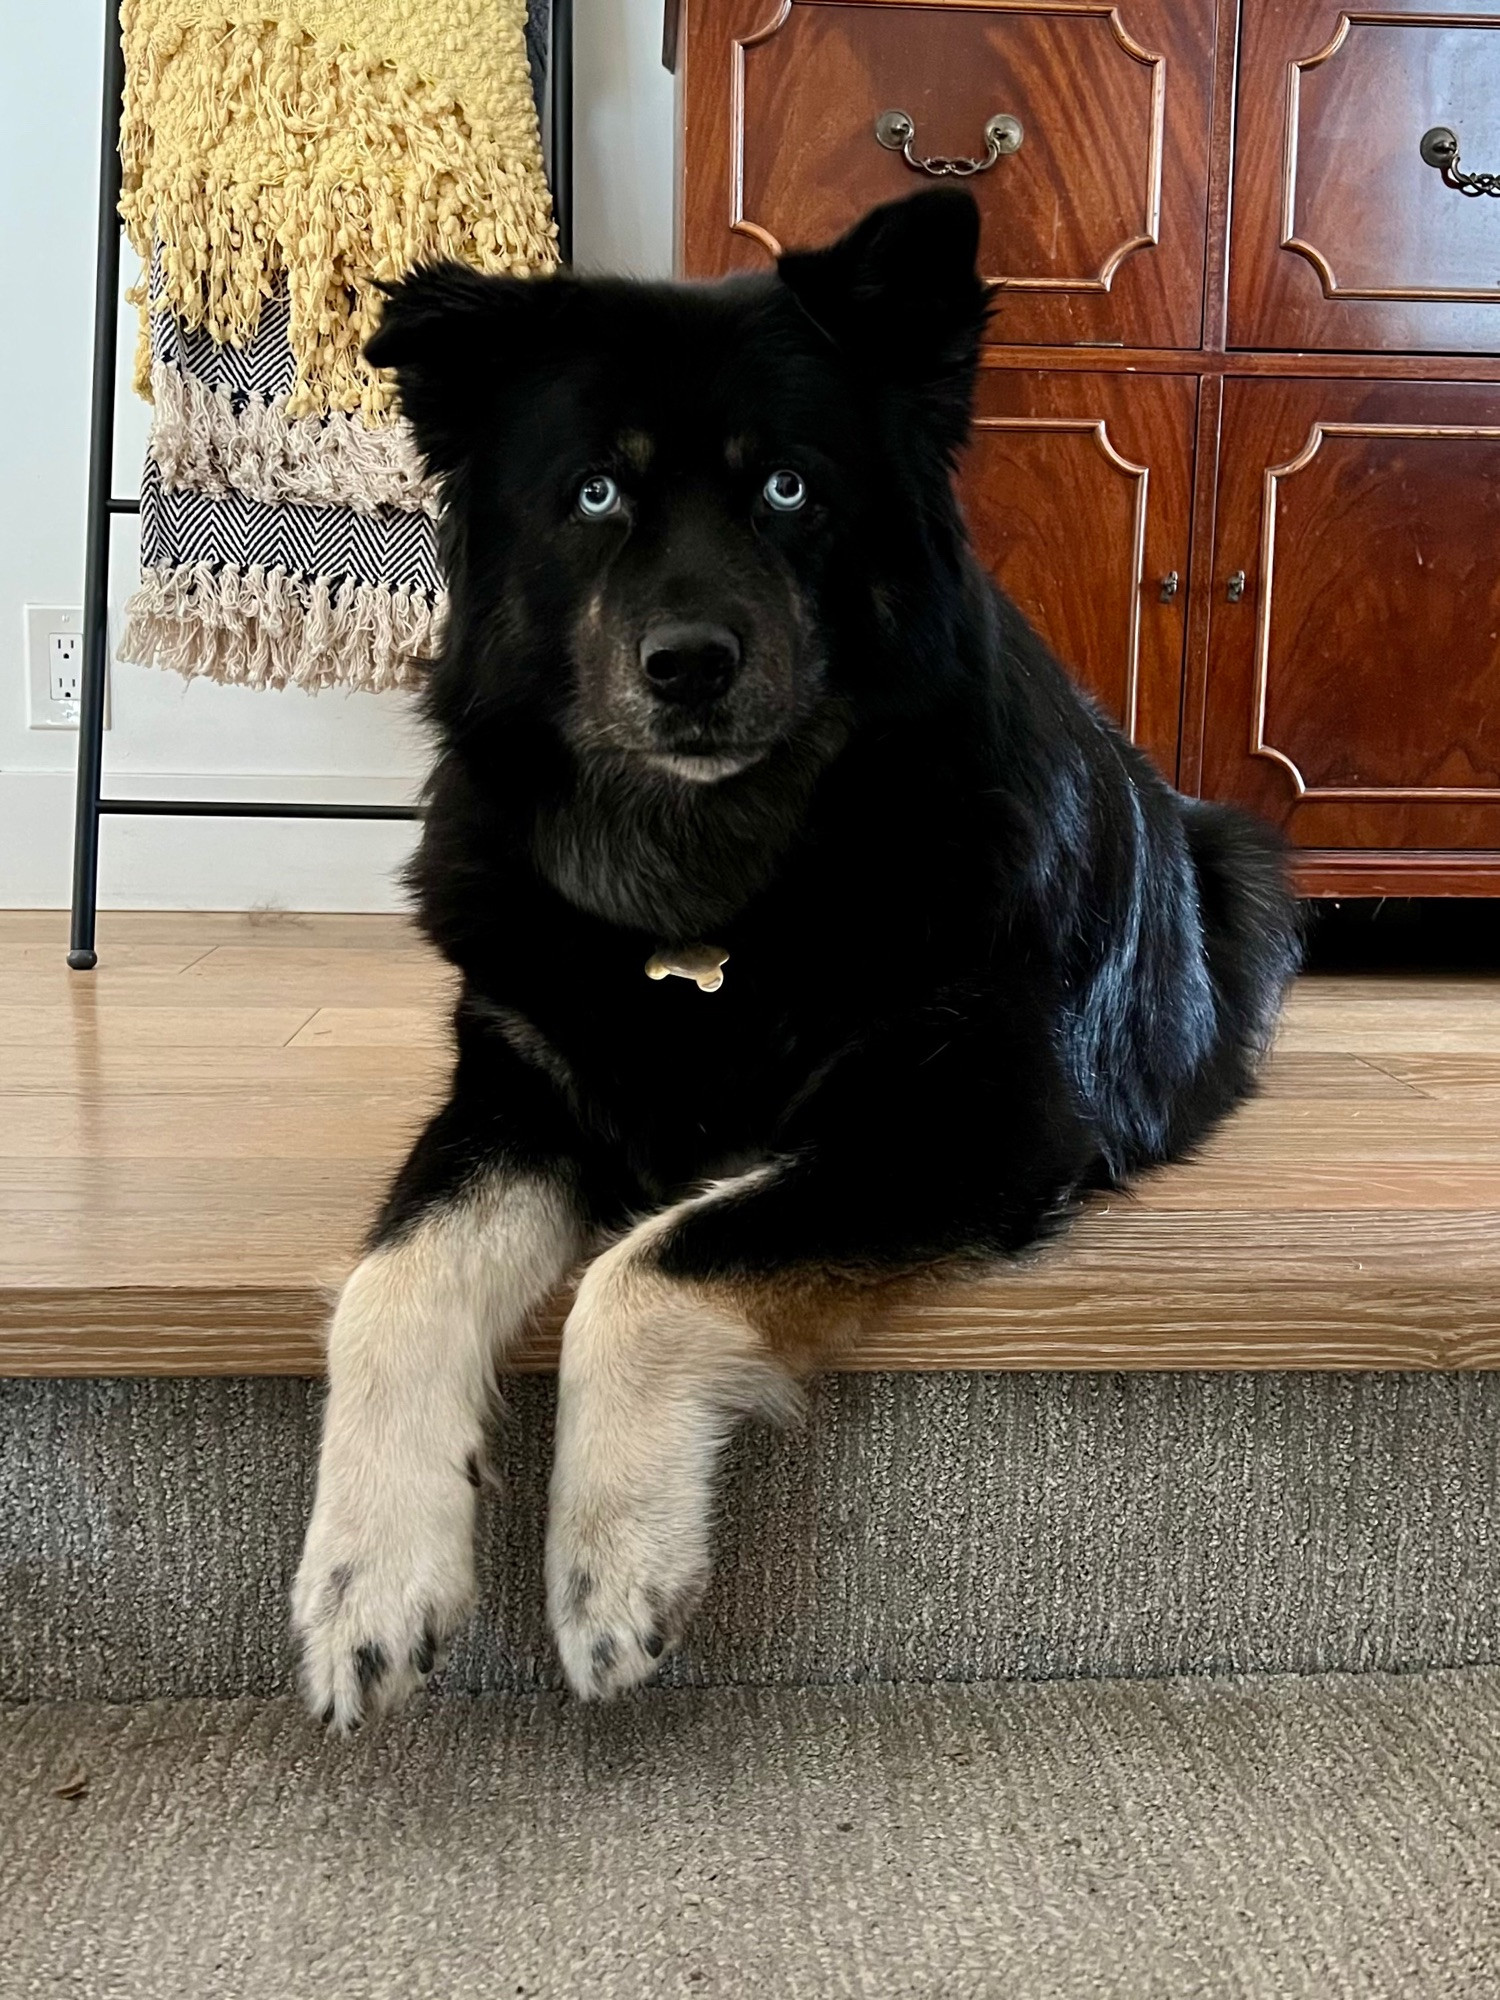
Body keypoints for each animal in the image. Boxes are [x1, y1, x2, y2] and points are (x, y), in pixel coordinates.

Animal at [290, 191, 1296, 1736]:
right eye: (596, 494)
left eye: (786, 490)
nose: (689, 664)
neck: (714, 888)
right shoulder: (511, 1091)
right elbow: (391, 1283)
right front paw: (366, 1579)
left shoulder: (968, 1119)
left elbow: (647, 1263)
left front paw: (609, 1567)